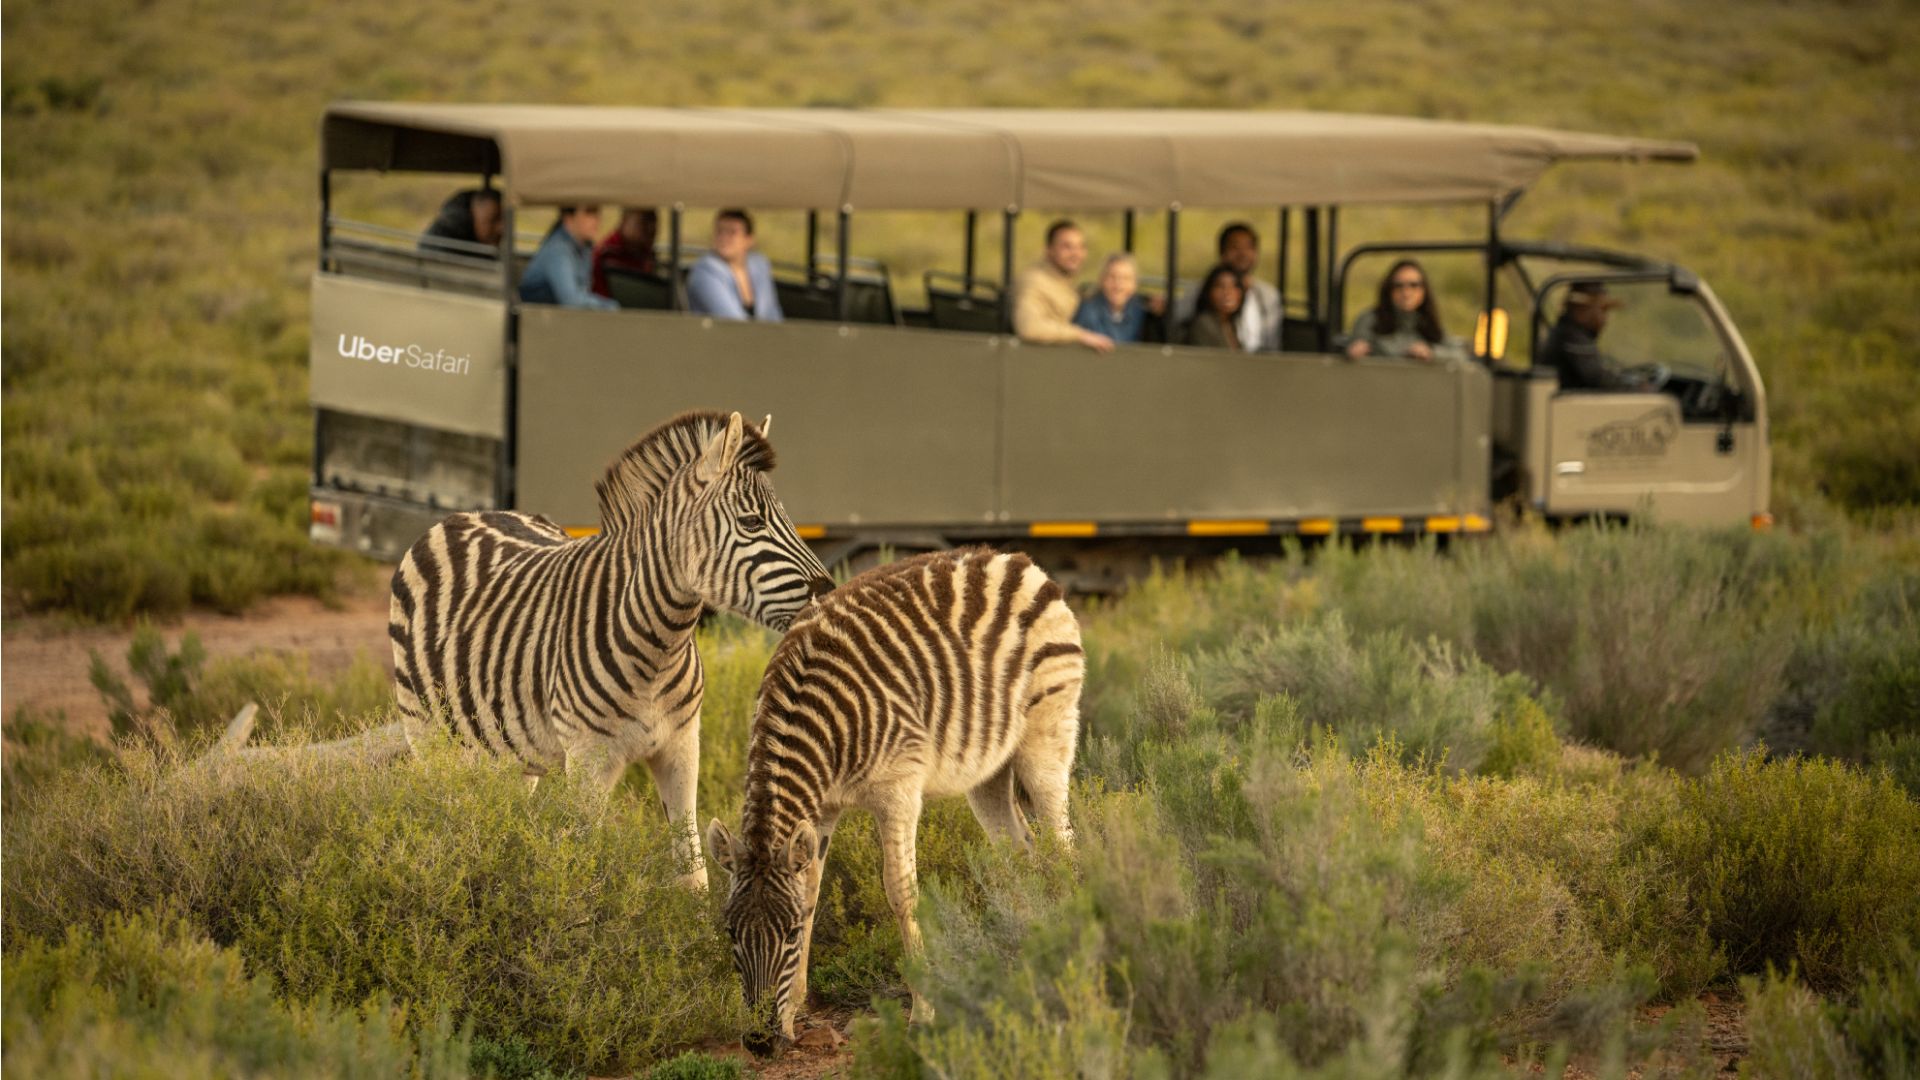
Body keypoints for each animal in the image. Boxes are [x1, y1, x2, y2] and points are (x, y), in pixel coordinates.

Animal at [389, 409, 833, 889]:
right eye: (752, 523)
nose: (829, 594)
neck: (659, 649)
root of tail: (463, 515)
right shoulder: (588, 759)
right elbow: (585, 867)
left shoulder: (682, 746)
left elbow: (692, 869)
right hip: (426, 731)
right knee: (444, 808)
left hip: (511, 748)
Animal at [705, 547, 1084, 1053]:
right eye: (730, 932)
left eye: (788, 934)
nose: (761, 1043)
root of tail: (1015, 559)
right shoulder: (822, 808)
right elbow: (812, 890)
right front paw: (793, 1009)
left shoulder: (898, 789)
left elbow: (901, 892)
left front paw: (923, 1012)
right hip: (988, 771)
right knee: (1021, 852)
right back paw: (1026, 950)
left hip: (1047, 731)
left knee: (1062, 844)